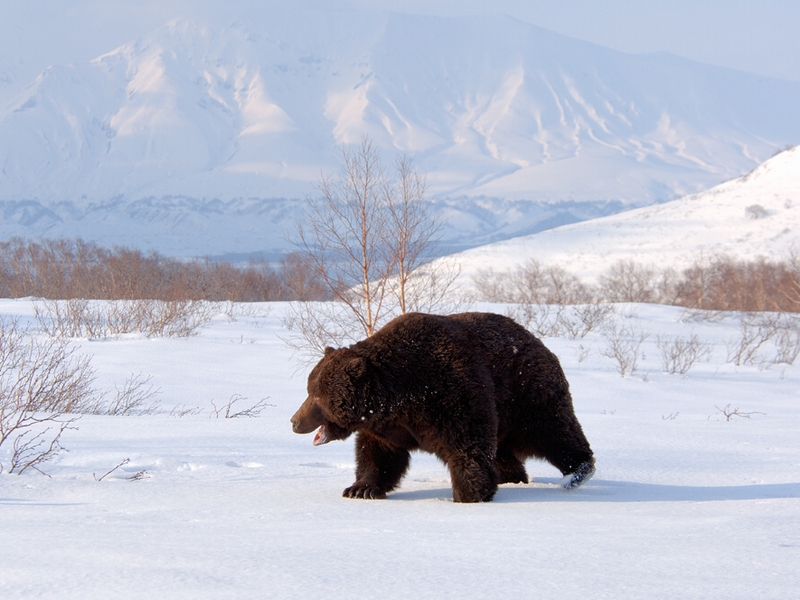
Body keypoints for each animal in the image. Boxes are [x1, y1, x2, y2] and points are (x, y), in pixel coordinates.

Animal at [290, 312, 592, 504]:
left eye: (317, 397)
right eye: (309, 389)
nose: (294, 421)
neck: (399, 396)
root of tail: (539, 342)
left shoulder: (449, 393)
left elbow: (466, 445)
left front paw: (467, 495)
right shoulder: (388, 426)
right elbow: (377, 455)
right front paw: (360, 489)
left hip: (526, 395)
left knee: (555, 432)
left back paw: (578, 472)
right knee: (505, 451)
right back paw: (511, 477)